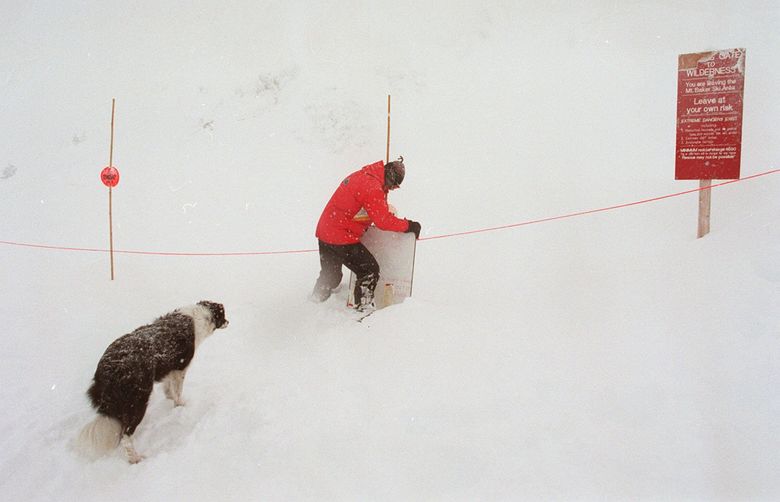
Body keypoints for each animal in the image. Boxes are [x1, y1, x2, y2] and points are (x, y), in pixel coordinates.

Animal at [77, 302, 229, 462]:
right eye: (224, 315)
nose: (229, 322)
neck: (200, 315)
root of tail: (108, 369)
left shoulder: (169, 369)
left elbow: (168, 388)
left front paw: (170, 399)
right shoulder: (180, 368)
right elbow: (178, 391)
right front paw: (181, 405)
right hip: (138, 401)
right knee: (126, 435)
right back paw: (135, 459)